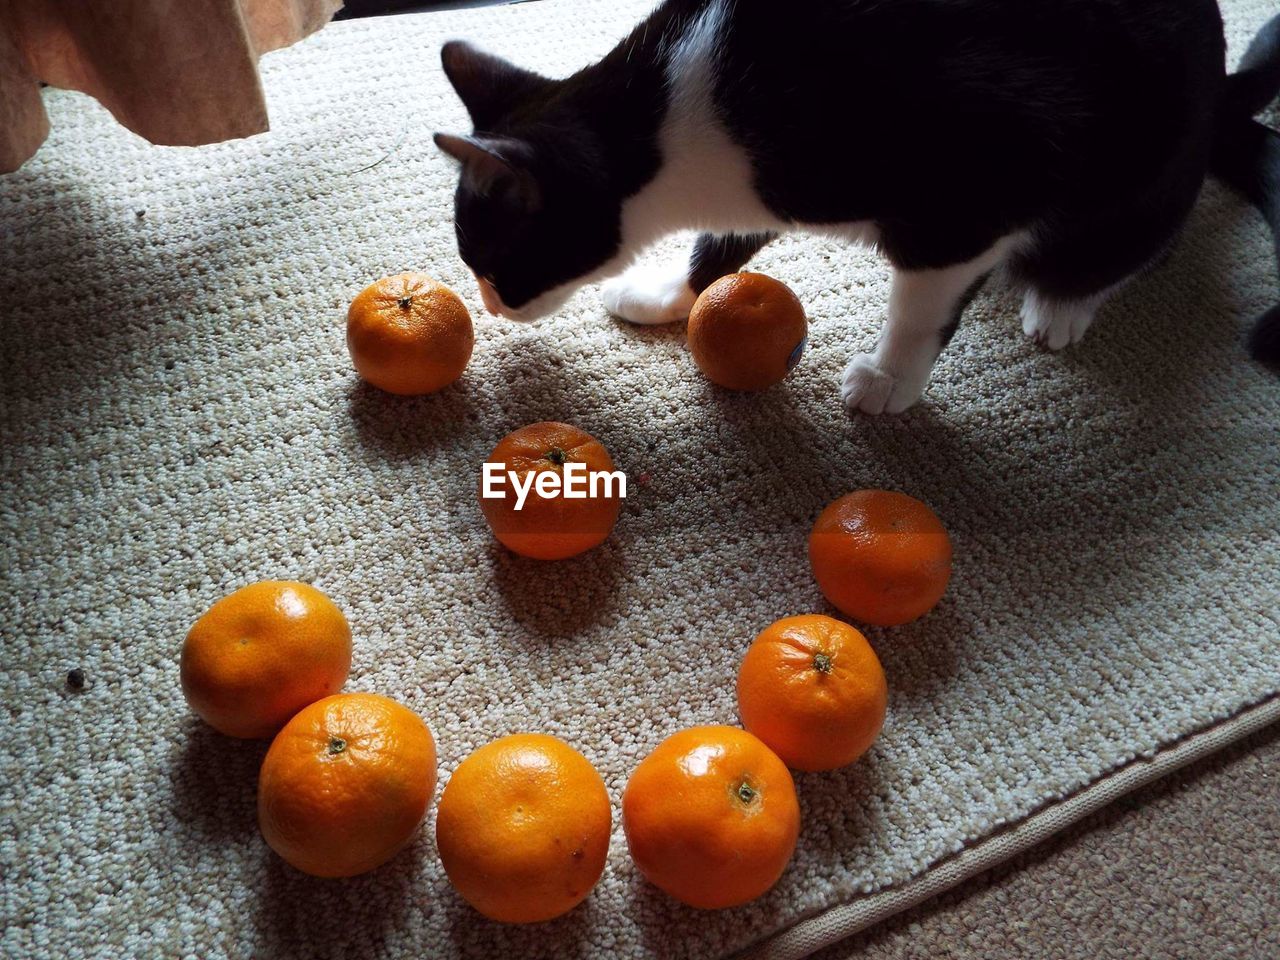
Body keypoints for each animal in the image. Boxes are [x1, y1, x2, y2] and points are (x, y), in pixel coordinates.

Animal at [432, 0, 1280, 409]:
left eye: (490, 262)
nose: (491, 306)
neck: (673, 122)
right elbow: (726, 238)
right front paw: (671, 290)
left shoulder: (980, 185)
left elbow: (923, 300)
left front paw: (891, 378)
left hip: (1144, 166)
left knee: (1132, 238)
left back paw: (1063, 300)